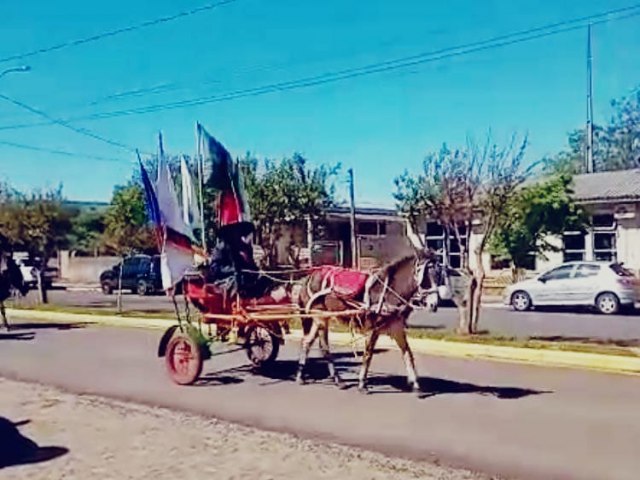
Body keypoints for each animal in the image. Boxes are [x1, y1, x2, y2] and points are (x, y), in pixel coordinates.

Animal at [296, 251, 436, 394]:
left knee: (307, 342)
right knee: (324, 347)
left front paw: (416, 385)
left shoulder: (397, 329)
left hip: (318, 319)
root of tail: (308, 278)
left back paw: (303, 376)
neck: (386, 293)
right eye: (425, 278)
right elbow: (368, 355)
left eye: (438, 275)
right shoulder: (372, 329)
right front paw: (362, 384)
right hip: (321, 317)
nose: (434, 304)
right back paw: (336, 379)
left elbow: (407, 354)